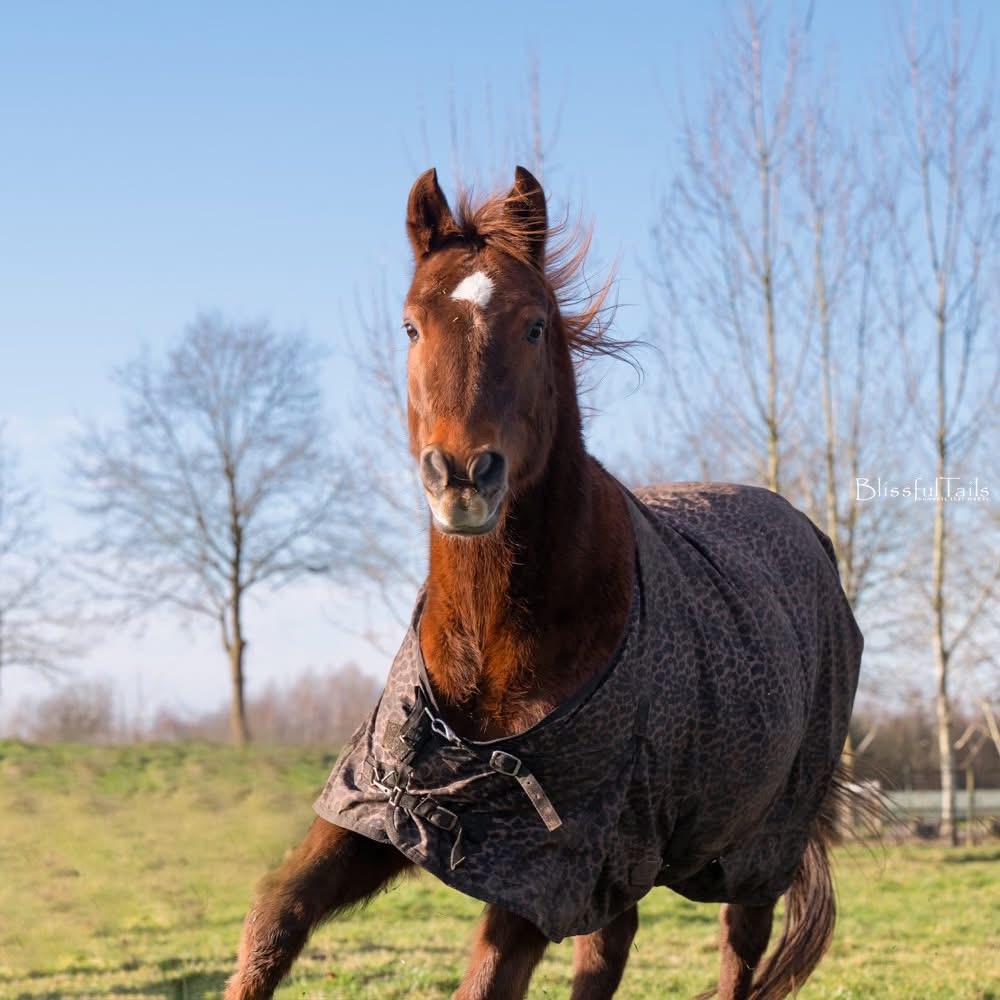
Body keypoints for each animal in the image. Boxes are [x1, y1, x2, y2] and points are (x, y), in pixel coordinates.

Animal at [225, 166, 863, 1000]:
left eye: (533, 326)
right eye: (411, 327)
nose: (463, 477)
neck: (494, 645)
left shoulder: (552, 864)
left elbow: (490, 977)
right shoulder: (385, 807)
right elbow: (276, 914)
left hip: (748, 842)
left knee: (737, 947)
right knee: (608, 950)